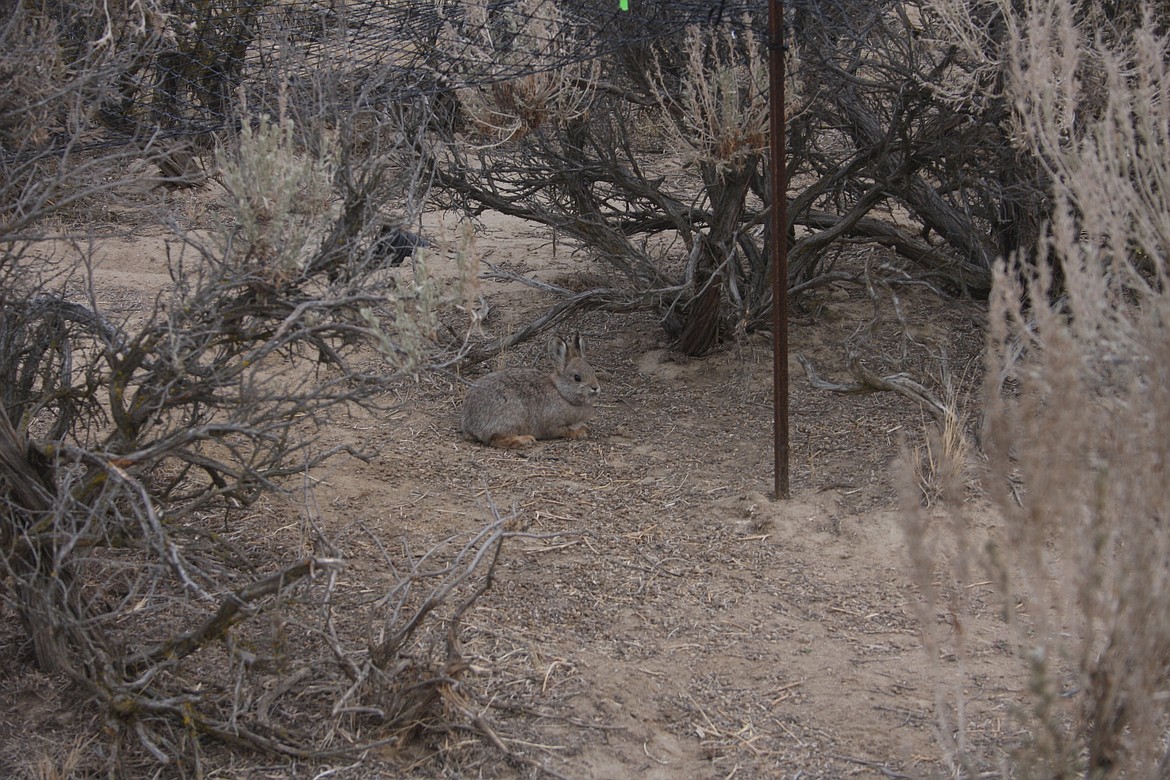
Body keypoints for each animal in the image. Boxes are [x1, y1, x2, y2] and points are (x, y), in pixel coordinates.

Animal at [458, 332, 599, 449]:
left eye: (593, 371)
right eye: (577, 377)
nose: (595, 387)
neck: (561, 393)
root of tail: (469, 423)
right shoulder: (552, 424)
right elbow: (563, 430)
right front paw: (579, 432)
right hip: (512, 416)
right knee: (495, 439)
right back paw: (525, 440)